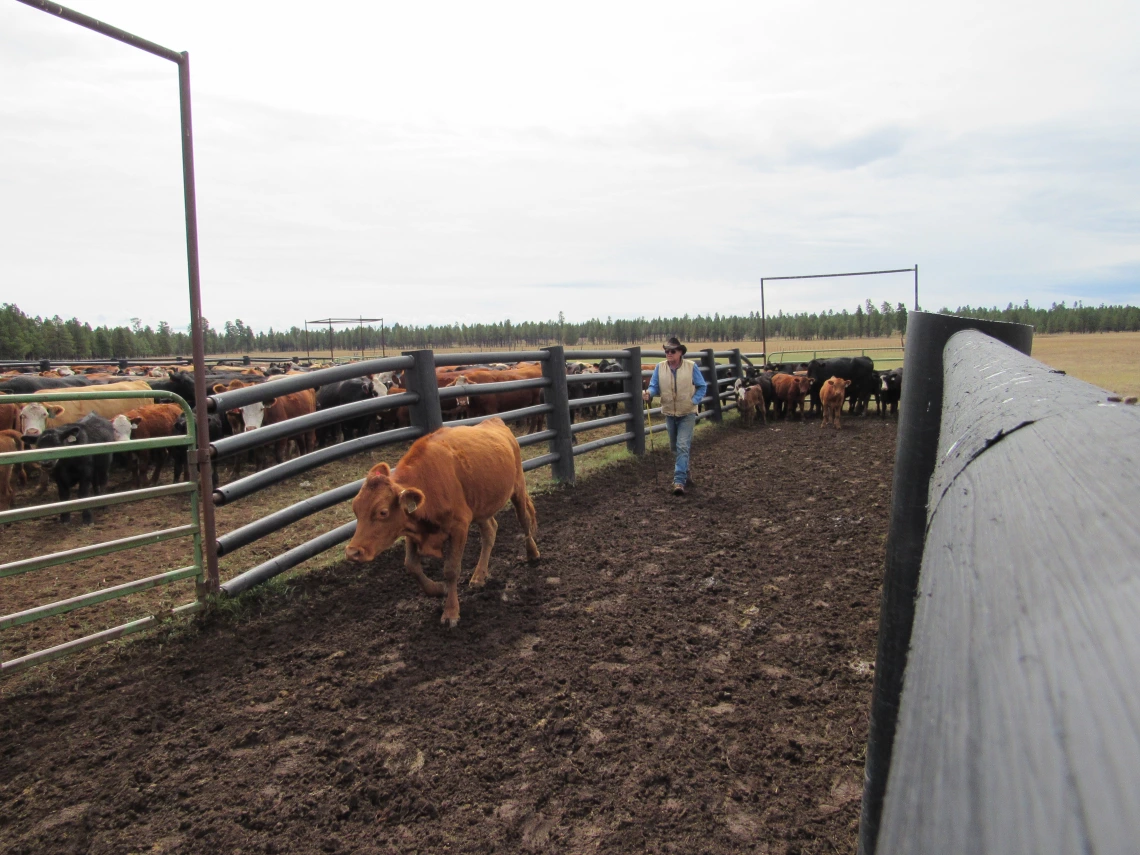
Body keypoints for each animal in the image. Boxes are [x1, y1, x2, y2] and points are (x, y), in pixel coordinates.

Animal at [342, 421, 538, 629]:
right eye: (355, 509)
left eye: (382, 512)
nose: (352, 552)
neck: (428, 483)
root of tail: (494, 422)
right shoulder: (412, 528)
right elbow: (411, 565)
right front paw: (438, 589)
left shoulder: (459, 526)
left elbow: (451, 569)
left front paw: (451, 611)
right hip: (480, 508)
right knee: (490, 531)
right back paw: (479, 576)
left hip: (517, 488)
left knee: (524, 520)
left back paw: (532, 554)